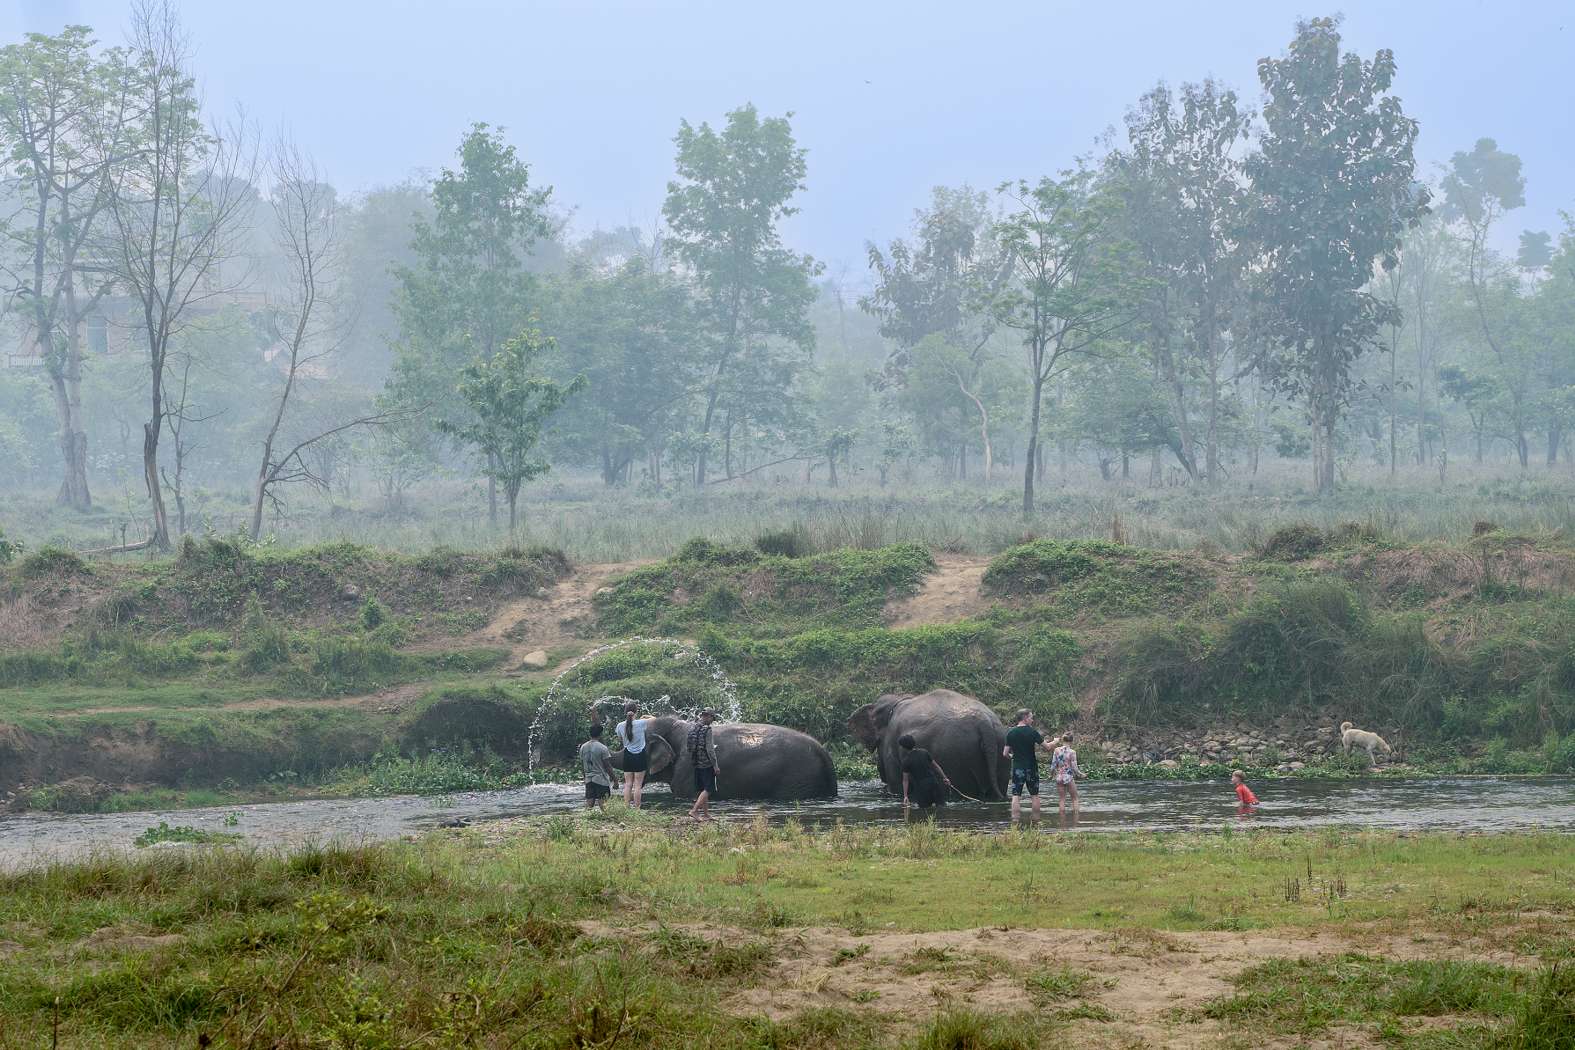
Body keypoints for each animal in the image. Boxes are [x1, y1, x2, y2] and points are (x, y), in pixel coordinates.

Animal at [848, 689, 1009, 801]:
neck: (898, 698)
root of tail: (983, 721)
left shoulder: (891, 746)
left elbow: (897, 785)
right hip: (999, 746)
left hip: (953, 755)